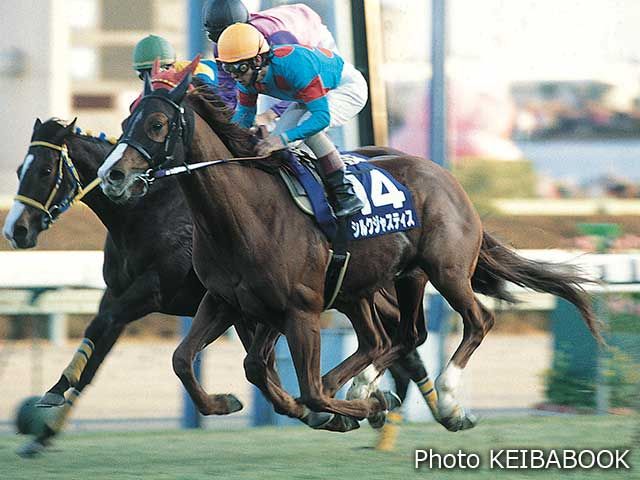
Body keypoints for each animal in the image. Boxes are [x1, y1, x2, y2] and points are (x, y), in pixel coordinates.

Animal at [3, 117, 433, 455]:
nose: (16, 230)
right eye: (20, 168)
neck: (146, 211)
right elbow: (96, 351)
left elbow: (107, 324)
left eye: (44, 171)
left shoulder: (154, 291)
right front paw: (45, 425)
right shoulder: (136, 293)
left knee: (407, 340)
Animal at [97, 60, 601, 429]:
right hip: (378, 283)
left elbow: (303, 385)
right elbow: (190, 360)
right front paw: (225, 402)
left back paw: (444, 400)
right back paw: (365, 386)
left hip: (445, 269)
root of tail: (447, 177)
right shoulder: (226, 301)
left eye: (157, 124)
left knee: (476, 321)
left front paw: (355, 409)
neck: (242, 214)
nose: (113, 175)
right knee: (394, 337)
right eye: (125, 119)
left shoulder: (299, 309)